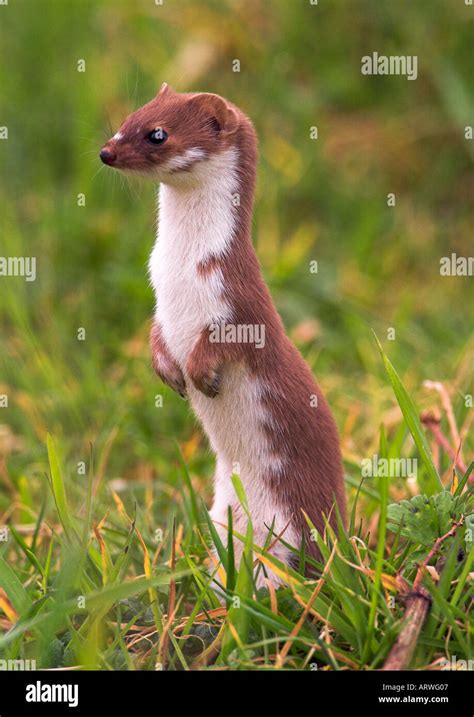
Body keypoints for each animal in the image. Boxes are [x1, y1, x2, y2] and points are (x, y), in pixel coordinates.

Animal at [100, 84, 346, 584]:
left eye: (157, 133)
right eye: (128, 118)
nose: (105, 152)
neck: (178, 278)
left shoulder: (239, 304)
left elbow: (229, 341)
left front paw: (201, 374)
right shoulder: (159, 305)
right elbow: (155, 334)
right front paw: (169, 372)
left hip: (291, 525)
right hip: (222, 515)